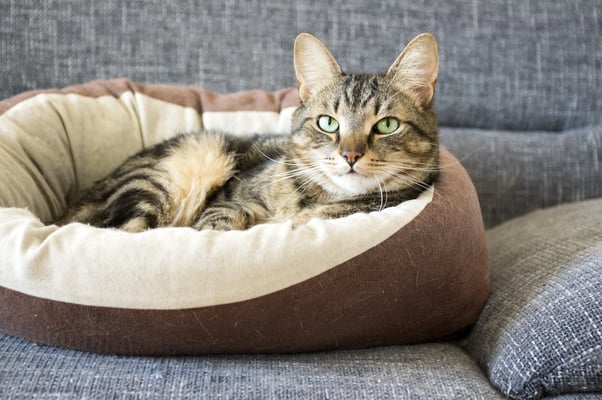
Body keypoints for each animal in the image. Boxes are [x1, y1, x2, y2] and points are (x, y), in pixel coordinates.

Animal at [58, 32, 438, 233]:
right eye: (328, 123)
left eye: (387, 125)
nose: (350, 155)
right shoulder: (229, 200)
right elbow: (223, 219)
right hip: (173, 171)